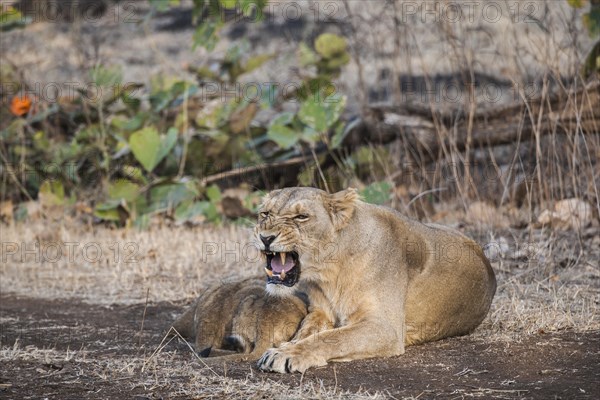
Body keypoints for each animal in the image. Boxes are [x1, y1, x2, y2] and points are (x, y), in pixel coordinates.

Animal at [253, 186, 496, 374]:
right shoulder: (320, 311)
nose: (265, 238)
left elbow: (332, 338)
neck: (330, 273)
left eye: (301, 217)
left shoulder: (385, 328)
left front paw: (287, 353)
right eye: (264, 213)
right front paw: (289, 344)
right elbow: (307, 331)